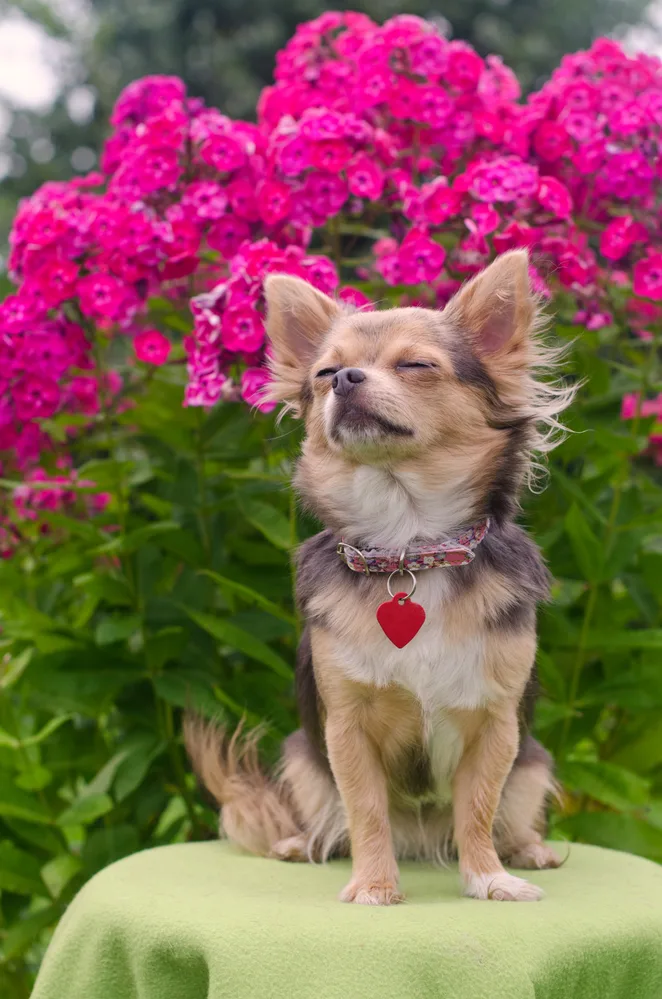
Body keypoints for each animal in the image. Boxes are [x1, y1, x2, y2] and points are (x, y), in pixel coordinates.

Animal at [187, 248, 576, 908]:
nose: (345, 380)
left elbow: (478, 810)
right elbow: (365, 810)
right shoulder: (345, 728)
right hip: (302, 757)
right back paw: (302, 844)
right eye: (324, 373)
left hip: (533, 763)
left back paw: (528, 850)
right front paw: (374, 886)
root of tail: (423, 838)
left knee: (507, 817)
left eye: (416, 364)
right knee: (329, 819)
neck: (410, 550)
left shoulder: (496, 728)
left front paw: (488, 878)